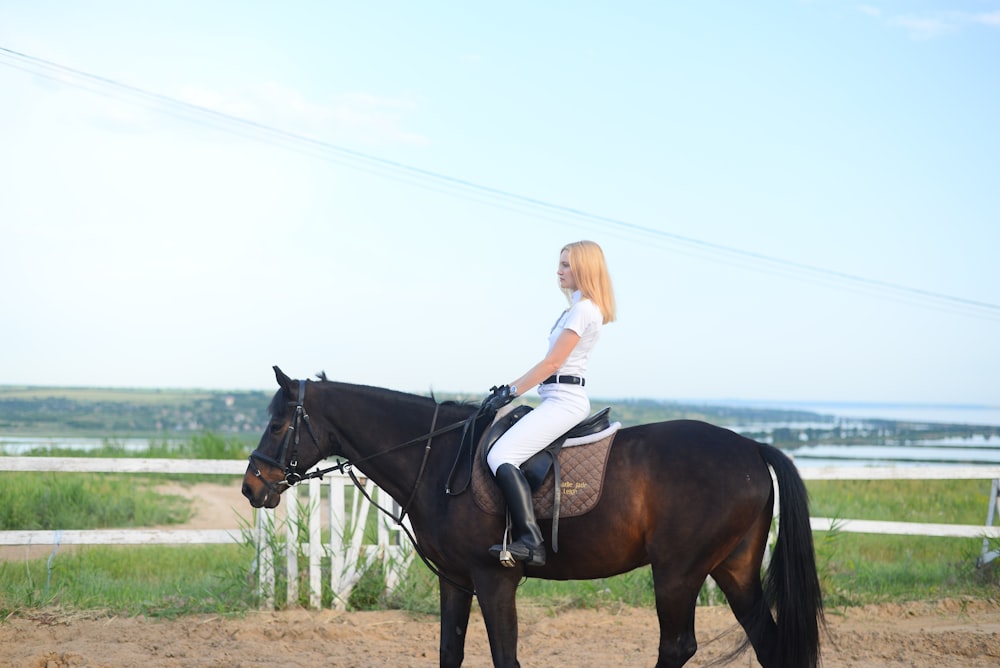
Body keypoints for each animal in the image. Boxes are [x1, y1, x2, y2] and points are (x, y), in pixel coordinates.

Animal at [242, 368, 820, 664]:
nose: (252, 487)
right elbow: (449, 651)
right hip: (733, 568)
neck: (439, 457)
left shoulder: (494, 579)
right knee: (766, 641)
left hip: (678, 572)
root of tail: (750, 446)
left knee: (678, 645)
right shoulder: (455, 580)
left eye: (277, 425)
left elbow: (505, 656)